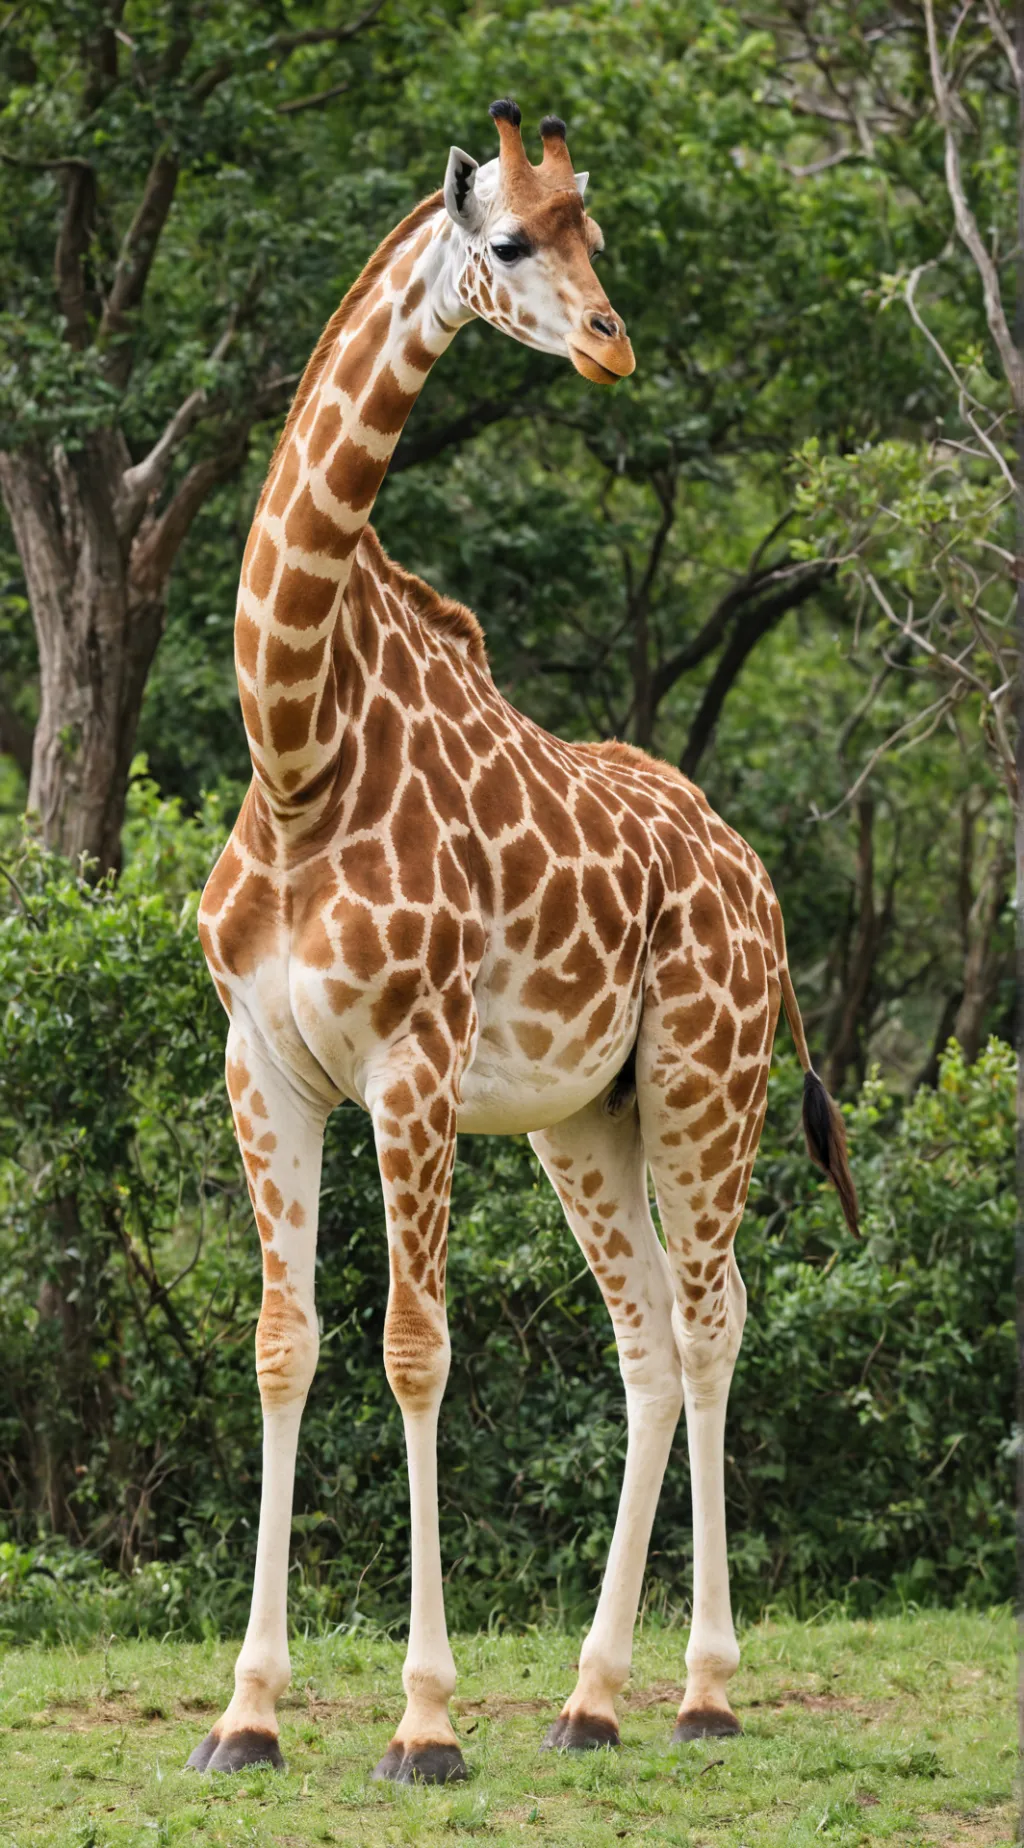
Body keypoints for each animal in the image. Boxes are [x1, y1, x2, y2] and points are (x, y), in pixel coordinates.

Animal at [190, 99, 858, 1786]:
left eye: (596, 240)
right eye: (510, 239)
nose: (613, 344)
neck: (299, 756)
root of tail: (762, 891)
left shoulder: (413, 1063)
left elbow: (414, 1350)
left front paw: (423, 1723)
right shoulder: (262, 1064)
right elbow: (284, 1343)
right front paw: (247, 1713)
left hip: (703, 1083)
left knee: (709, 1322)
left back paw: (701, 1689)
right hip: (583, 1116)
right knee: (645, 1337)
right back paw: (591, 1695)